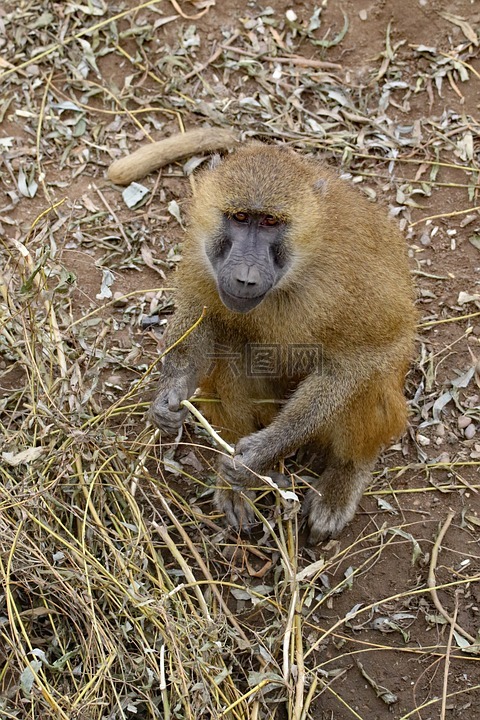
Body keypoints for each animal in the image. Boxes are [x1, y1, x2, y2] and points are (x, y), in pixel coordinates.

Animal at [149, 142, 416, 542]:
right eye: (240, 217)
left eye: (271, 223)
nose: (244, 277)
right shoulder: (202, 253)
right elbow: (202, 319)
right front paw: (170, 397)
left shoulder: (352, 279)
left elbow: (360, 359)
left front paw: (262, 453)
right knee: (231, 346)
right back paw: (236, 487)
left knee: (370, 381)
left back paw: (342, 478)